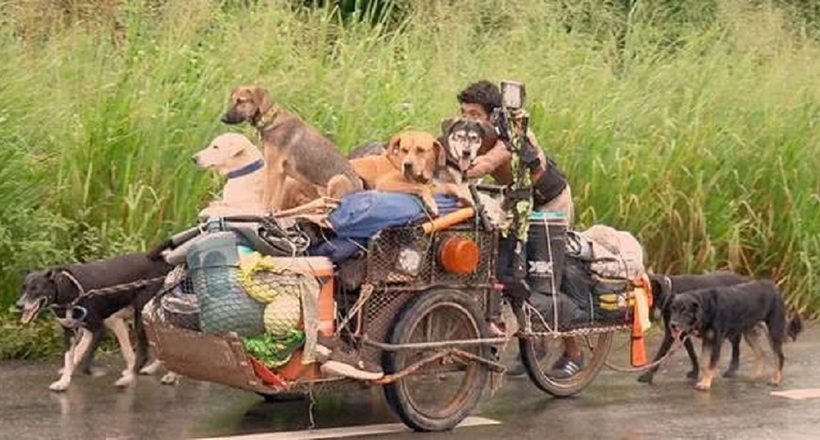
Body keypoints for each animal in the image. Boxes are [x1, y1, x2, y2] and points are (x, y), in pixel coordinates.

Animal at [17, 253, 173, 390]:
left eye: (36, 288)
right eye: (23, 287)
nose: (19, 305)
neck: (69, 289)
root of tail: (164, 262)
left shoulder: (100, 328)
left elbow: (86, 362)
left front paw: (95, 372)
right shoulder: (71, 331)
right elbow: (69, 357)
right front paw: (63, 382)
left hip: (141, 318)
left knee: (147, 351)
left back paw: (133, 378)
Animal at [221, 85, 362, 212]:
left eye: (241, 101)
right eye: (232, 100)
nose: (223, 118)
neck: (270, 120)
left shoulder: (272, 169)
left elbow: (267, 198)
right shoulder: (281, 173)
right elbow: (276, 201)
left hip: (337, 179)